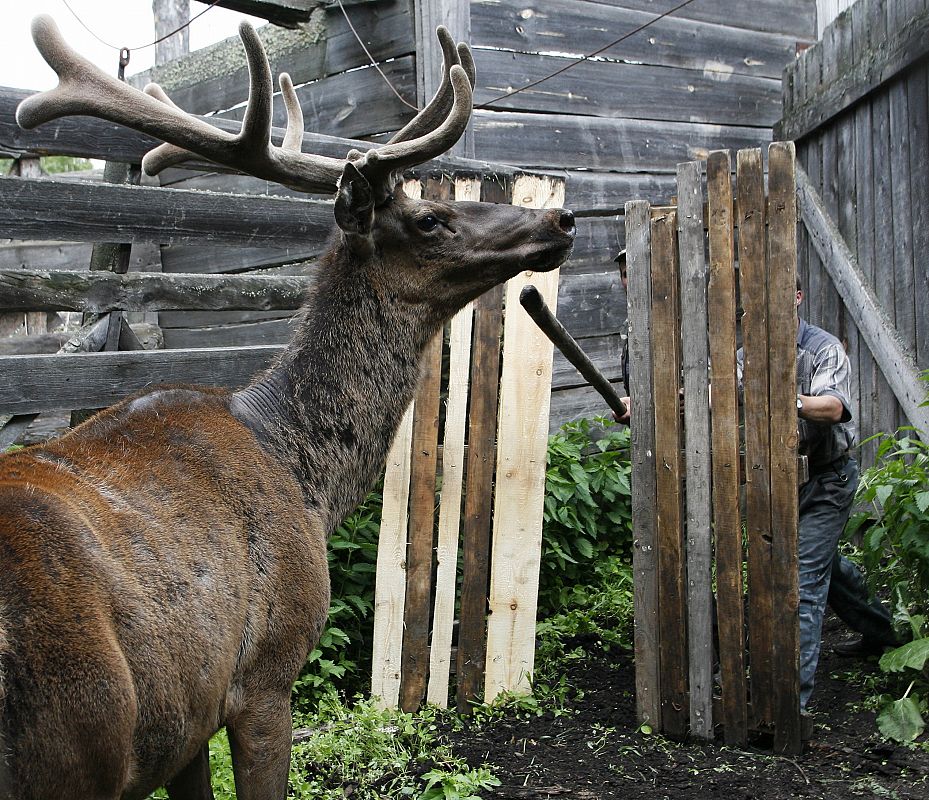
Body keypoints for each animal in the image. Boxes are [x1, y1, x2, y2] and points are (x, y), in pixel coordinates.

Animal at [0, 12, 576, 800]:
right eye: (429, 218)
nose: (560, 221)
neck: (304, 474)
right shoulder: (265, 676)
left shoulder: (187, 722)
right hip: (75, 742)